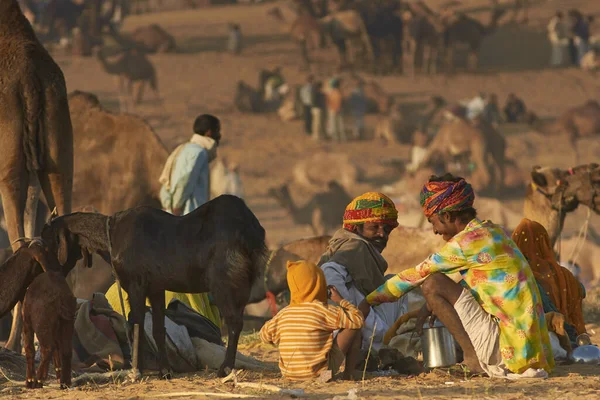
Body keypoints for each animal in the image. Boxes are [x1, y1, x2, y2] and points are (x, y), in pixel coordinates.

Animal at [41, 195, 266, 376]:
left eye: (47, 242)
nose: (48, 274)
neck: (110, 235)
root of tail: (250, 229)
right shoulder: (156, 288)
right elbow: (158, 328)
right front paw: (164, 371)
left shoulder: (136, 285)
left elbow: (136, 324)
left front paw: (137, 370)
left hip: (224, 284)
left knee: (234, 323)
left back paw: (225, 369)